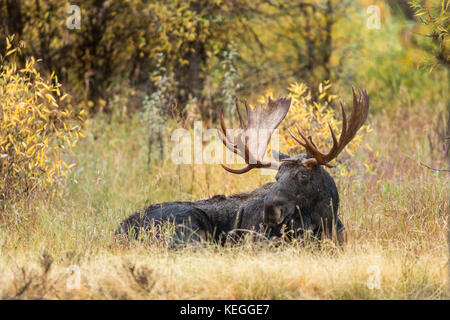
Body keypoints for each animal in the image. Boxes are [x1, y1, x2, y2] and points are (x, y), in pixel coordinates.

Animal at [116, 87, 370, 245]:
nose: (270, 211)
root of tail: (118, 232)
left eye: (303, 175)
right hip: (189, 231)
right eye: (276, 177)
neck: (324, 222)